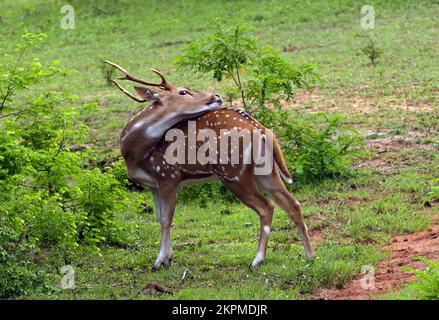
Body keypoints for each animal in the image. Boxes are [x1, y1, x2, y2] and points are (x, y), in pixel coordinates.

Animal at [105, 62, 314, 270]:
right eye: (183, 91)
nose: (216, 96)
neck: (137, 156)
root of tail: (261, 130)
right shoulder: (153, 185)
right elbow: (160, 217)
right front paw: (168, 258)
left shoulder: (168, 176)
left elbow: (167, 219)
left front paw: (159, 261)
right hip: (265, 170)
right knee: (293, 204)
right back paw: (310, 256)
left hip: (233, 172)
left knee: (267, 208)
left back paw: (257, 260)